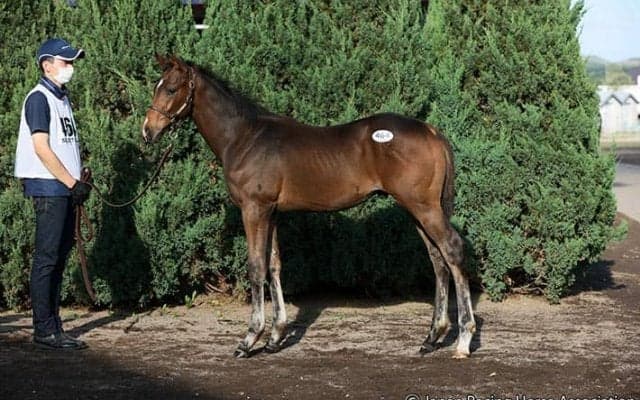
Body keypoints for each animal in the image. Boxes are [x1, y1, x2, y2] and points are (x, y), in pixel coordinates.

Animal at [142, 55, 476, 359]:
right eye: (157, 86)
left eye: (171, 88)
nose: (147, 131)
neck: (244, 137)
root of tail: (431, 131)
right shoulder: (272, 212)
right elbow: (274, 265)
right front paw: (275, 338)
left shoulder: (254, 209)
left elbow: (255, 267)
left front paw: (249, 340)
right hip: (418, 210)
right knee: (438, 259)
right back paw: (431, 338)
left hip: (423, 207)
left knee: (452, 248)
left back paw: (463, 340)